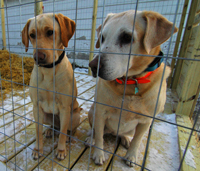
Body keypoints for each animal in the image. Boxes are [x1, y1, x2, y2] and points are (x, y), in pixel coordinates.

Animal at [21, 13, 80, 160]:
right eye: (32, 35)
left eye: (50, 32)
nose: (38, 57)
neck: (48, 71)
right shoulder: (36, 106)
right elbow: (37, 130)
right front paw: (38, 149)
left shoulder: (65, 108)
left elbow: (63, 134)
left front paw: (61, 150)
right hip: (47, 116)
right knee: (54, 127)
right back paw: (49, 130)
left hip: (74, 116)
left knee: (67, 130)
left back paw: (69, 136)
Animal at [86, 10, 177, 166]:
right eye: (102, 38)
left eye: (127, 37)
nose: (93, 66)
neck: (129, 83)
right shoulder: (100, 112)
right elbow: (99, 137)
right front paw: (98, 153)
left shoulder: (146, 121)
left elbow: (138, 140)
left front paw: (132, 156)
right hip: (92, 112)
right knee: (98, 132)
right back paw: (91, 138)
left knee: (126, 135)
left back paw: (126, 139)